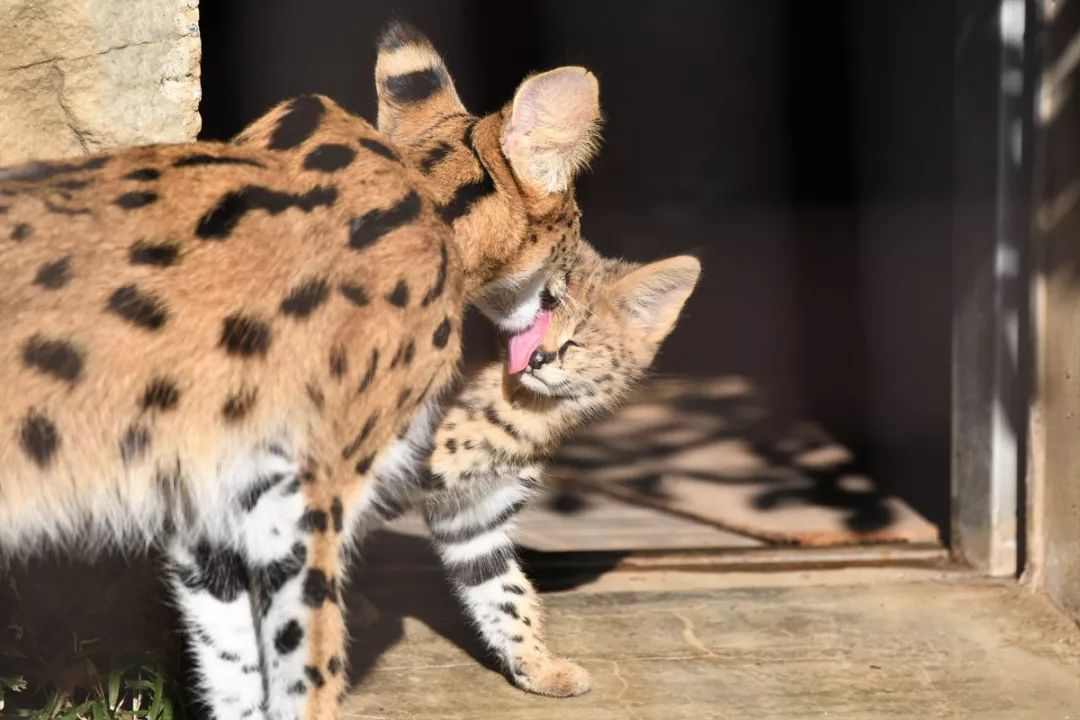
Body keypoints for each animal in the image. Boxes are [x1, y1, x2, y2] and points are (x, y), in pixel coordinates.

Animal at [362, 243, 699, 699]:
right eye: (523, 324)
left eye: (579, 336)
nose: (538, 357)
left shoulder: (476, 513)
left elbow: (507, 594)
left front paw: (537, 665)